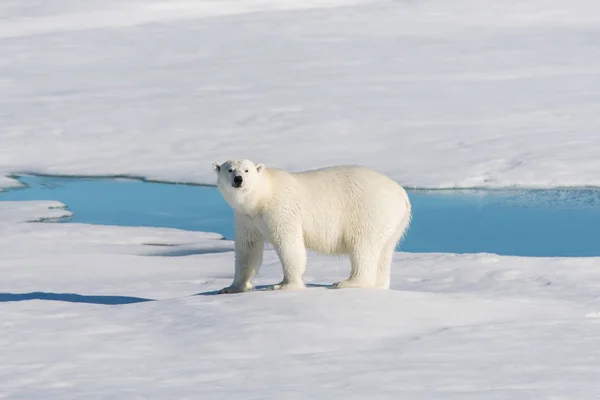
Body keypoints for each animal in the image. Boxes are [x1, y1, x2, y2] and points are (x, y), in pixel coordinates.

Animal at [212, 159, 412, 294]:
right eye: (230, 169)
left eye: (247, 170)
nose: (238, 179)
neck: (262, 197)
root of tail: (402, 195)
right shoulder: (246, 218)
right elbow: (248, 249)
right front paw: (232, 287)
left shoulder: (281, 209)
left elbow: (289, 244)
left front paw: (283, 285)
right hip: (394, 221)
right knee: (385, 250)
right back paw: (379, 284)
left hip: (370, 209)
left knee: (363, 244)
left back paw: (347, 282)